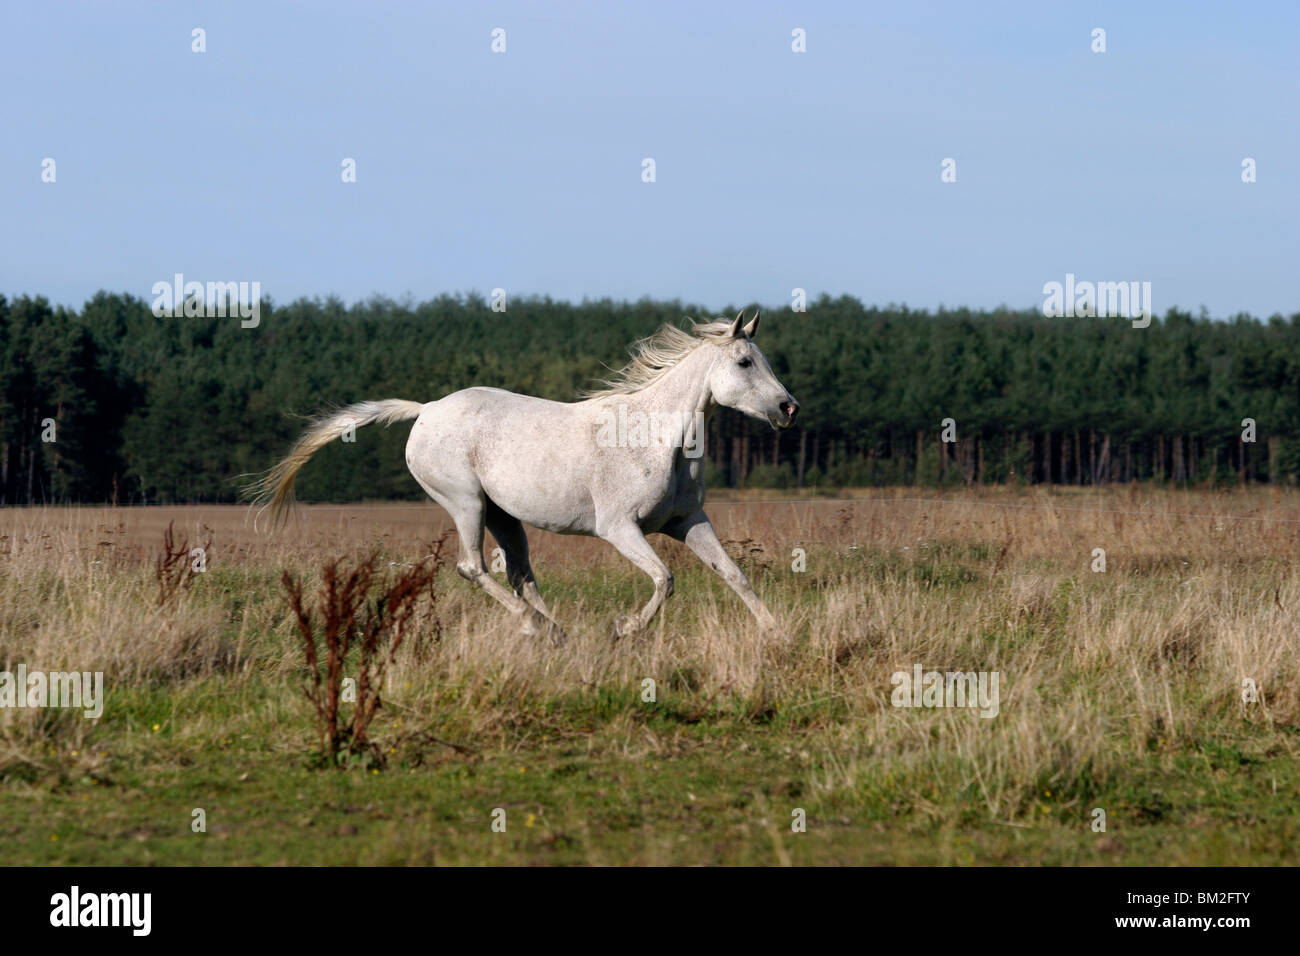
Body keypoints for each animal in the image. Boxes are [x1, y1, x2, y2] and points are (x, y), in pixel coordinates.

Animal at [248, 312, 795, 642]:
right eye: (744, 362)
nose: (789, 408)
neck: (657, 437)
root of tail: (426, 410)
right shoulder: (619, 528)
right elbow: (666, 578)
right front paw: (624, 629)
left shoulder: (687, 521)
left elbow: (734, 575)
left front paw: (776, 635)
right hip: (466, 503)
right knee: (474, 569)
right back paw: (539, 629)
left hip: (503, 516)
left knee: (520, 576)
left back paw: (557, 631)